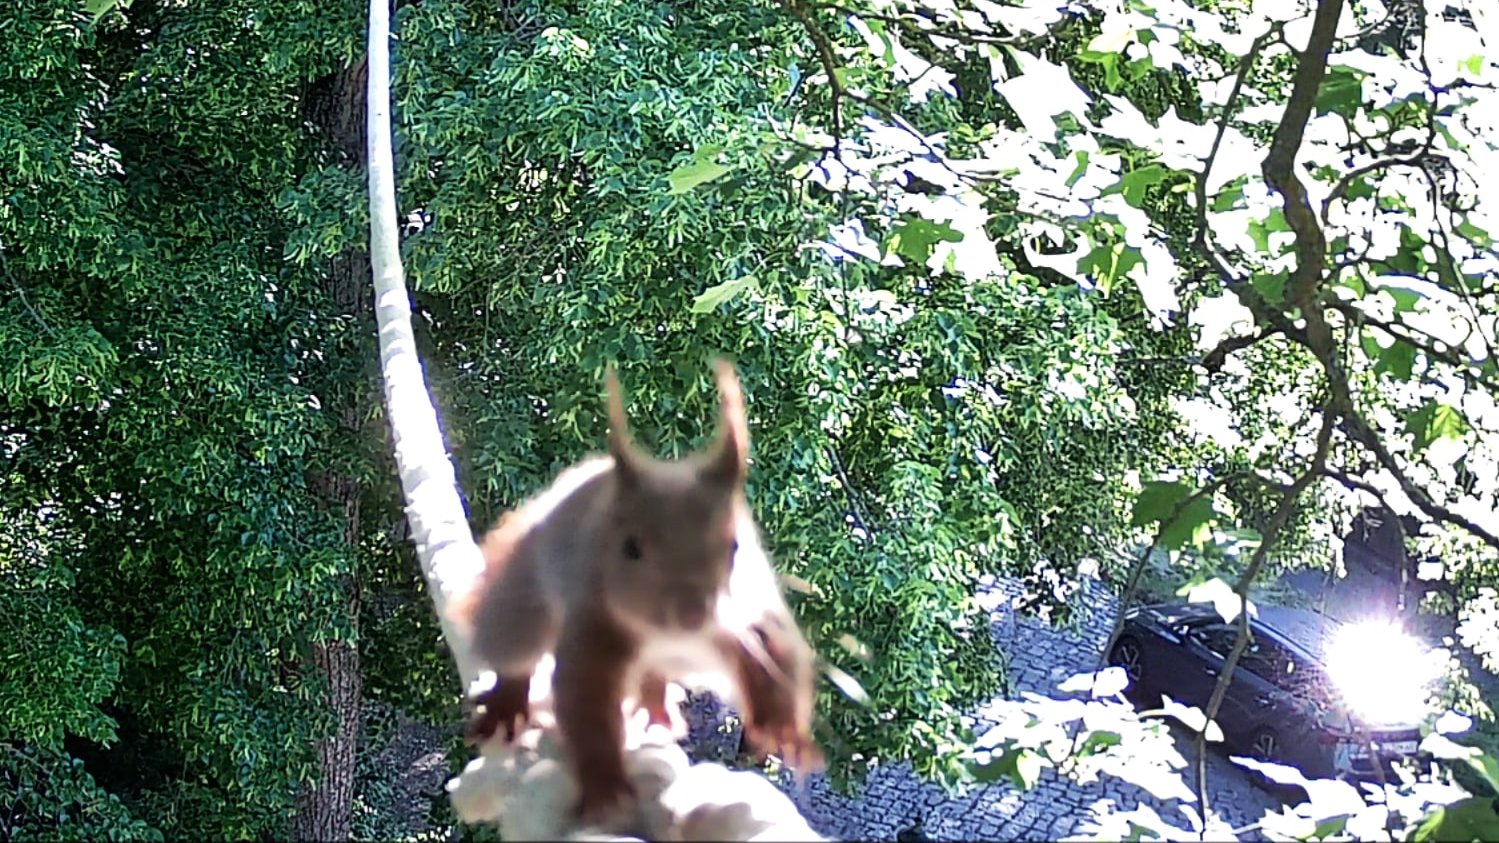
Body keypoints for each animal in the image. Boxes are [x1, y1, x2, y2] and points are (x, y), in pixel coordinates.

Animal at [447, 359, 820, 825]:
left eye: (735, 545)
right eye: (630, 548)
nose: (693, 615)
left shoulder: (751, 618)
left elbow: (777, 665)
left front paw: (783, 732)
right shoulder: (592, 623)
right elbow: (585, 704)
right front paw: (606, 790)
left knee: (653, 677)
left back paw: (656, 710)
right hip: (522, 598)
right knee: (517, 655)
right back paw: (506, 707)